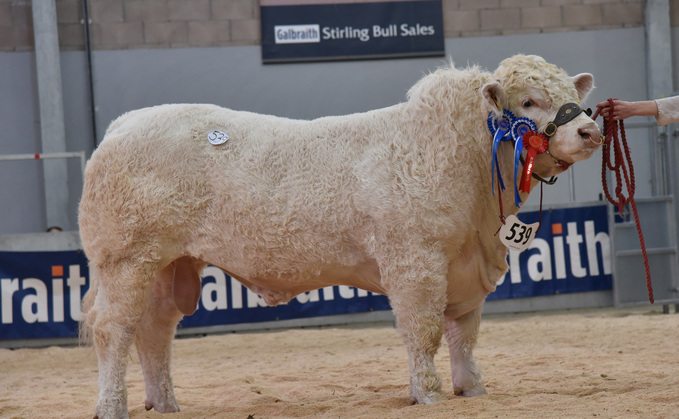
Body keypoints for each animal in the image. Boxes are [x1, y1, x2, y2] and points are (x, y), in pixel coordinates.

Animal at [78, 54, 600, 418]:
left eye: (569, 93)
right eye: (529, 101)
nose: (591, 129)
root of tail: (124, 124)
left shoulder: (467, 269)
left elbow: (464, 335)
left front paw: (472, 388)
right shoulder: (415, 263)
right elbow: (424, 331)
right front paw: (428, 393)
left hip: (167, 265)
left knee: (154, 332)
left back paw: (165, 403)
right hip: (126, 259)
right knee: (113, 331)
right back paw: (112, 406)